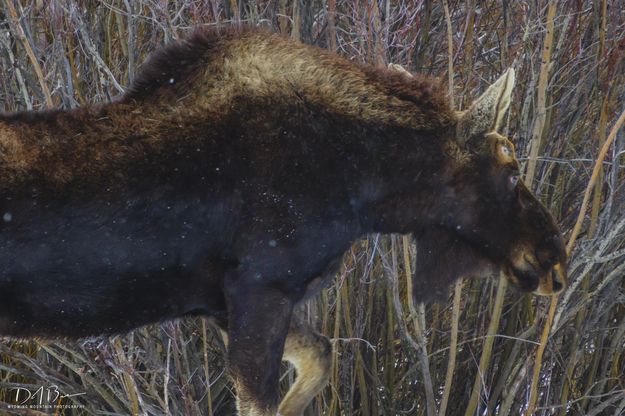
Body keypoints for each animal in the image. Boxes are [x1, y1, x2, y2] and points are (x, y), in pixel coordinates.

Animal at [0, 26, 564, 416]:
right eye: (512, 171)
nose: (554, 259)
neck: (359, 190)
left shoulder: (221, 302)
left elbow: (321, 354)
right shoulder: (261, 287)